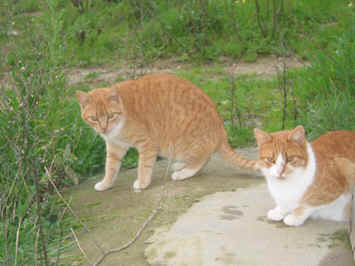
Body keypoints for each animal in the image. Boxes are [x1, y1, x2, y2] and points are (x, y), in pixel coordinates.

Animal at [76, 74, 258, 192]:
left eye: (110, 116)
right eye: (93, 118)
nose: (103, 129)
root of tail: (220, 126)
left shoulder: (147, 144)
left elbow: (143, 166)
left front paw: (142, 183)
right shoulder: (115, 147)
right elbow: (110, 168)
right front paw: (106, 184)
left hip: (182, 144)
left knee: (202, 158)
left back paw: (182, 173)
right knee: (204, 158)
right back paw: (181, 165)